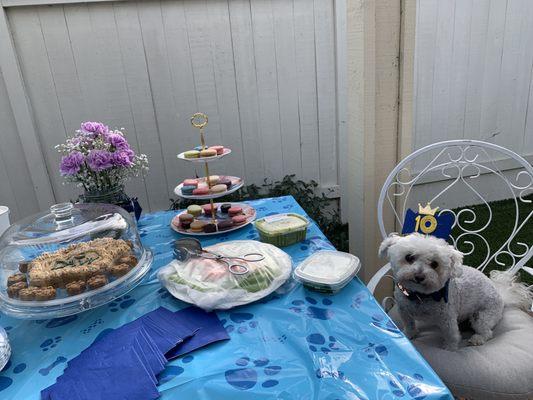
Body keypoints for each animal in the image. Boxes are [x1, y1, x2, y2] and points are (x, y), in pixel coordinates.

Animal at [376, 233, 504, 352]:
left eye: (435, 264)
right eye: (409, 257)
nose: (419, 276)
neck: (420, 296)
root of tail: (501, 295)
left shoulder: (447, 318)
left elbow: (451, 335)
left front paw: (450, 348)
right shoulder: (404, 311)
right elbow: (409, 325)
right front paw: (408, 335)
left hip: (481, 316)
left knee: (487, 332)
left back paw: (478, 339)